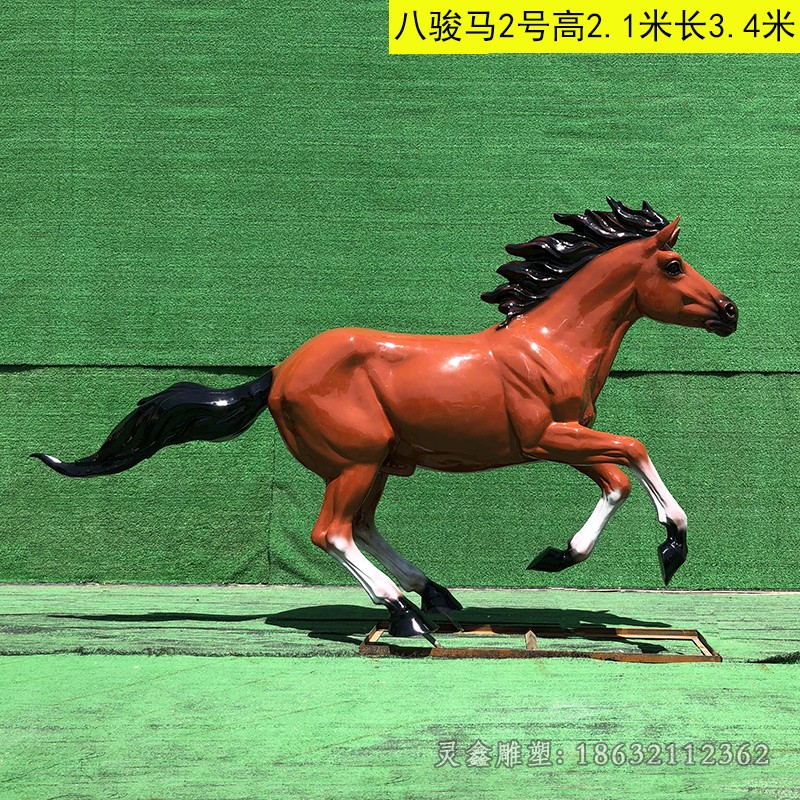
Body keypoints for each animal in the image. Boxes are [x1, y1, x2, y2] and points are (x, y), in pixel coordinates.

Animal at [36, 198, 736, 636]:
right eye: (673, 264)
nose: (729, 312)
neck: (549, 344)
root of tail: (276, 374)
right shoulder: (548, 437)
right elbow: (630, 453)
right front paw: (613, 552)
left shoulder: (568, 438)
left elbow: (620, 471)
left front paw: (613, 550)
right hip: (357, 459)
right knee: (332, 532)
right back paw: (405, 613)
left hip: (377, 463)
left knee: (363, 526)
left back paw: (436, 596)